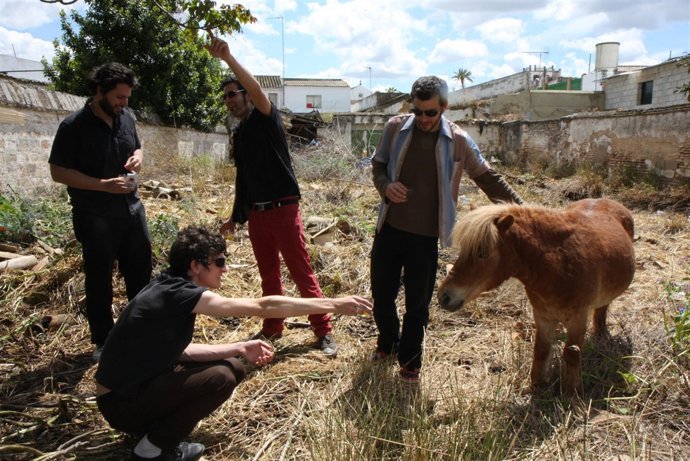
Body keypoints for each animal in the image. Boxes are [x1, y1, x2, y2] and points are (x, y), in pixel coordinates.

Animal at [437, 198, 636, 396]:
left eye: (483, 253)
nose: (443, 297)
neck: (558, 263)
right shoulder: (542, 316)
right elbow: (541, 349)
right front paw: (536, 384)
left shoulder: (578, 318)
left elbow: (571, 354)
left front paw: (571, 393)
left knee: (602, 308)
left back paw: (601, 333)